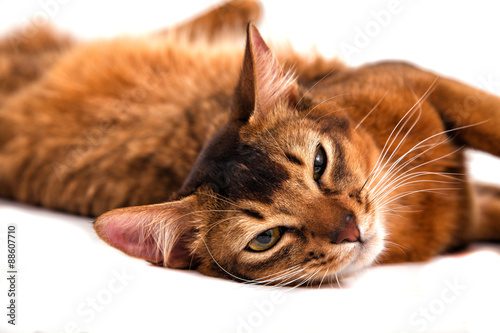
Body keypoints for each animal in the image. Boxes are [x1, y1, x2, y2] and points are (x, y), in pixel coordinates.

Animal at [0, 0, 500, 286]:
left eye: (319, 163)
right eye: (266, 239)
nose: (351, 229)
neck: (412, 215)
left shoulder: (411, 76)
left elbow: (491, 118)